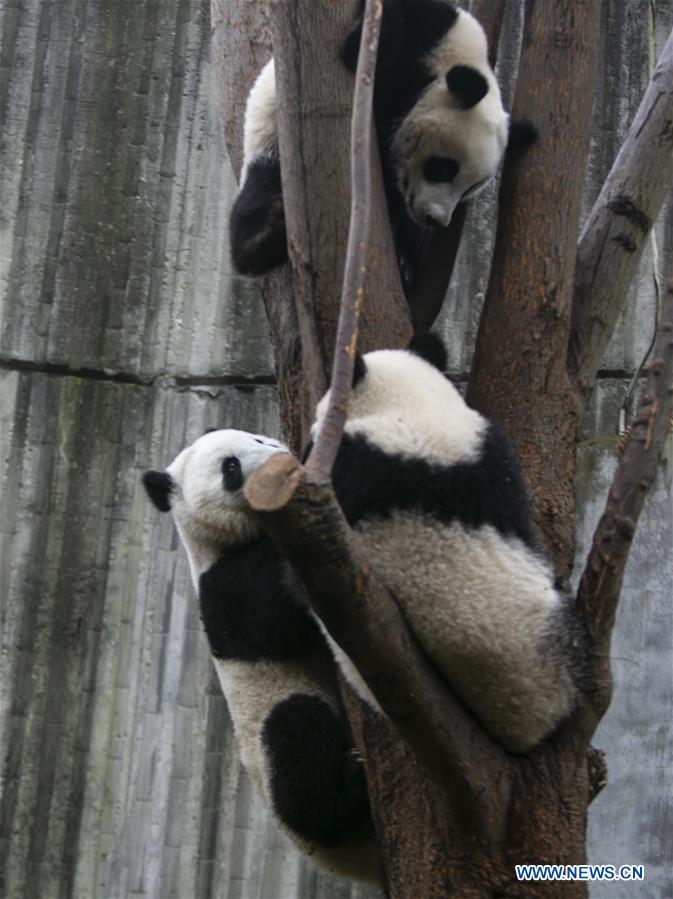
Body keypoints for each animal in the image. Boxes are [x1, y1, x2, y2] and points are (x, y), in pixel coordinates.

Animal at [142, 430, 380, 884]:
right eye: (231, 467)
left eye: (258, 437)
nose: (279, 459)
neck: (215, 541)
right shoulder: (226, 589)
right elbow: (277, 611)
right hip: (274, 731)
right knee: (297, 743)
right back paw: (351, 786)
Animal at [231, 0, 536, 284]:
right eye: (443, 168)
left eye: (470, 189)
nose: (435, 219)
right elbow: (361, 48)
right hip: (271, 144)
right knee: (258, 197)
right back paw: (262, 237)